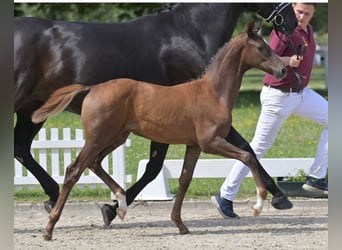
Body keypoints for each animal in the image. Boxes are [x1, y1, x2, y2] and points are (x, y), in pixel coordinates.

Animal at [14, 3, 296, 219]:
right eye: (260, 47)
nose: (293, 21)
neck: (189, 31)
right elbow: (246, 148)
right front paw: (280, 196)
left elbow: (155, 168)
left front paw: (114, 206)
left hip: (32, 111)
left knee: (21, 149)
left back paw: (52, 195)